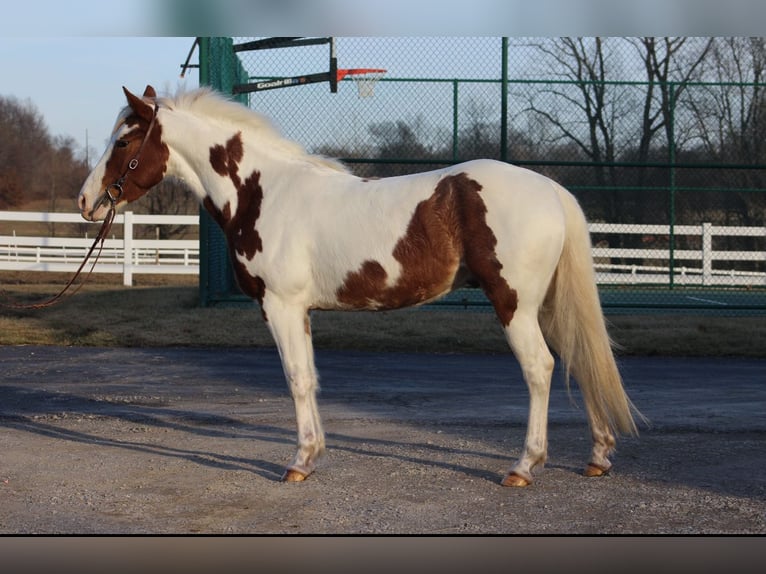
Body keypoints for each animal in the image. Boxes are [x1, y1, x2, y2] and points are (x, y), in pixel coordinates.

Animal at [78, 86, 640, 490]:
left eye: (123, 142)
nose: (86, 201)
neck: (263, 191)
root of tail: (551, 189)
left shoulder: (280, 306)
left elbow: (296, 380)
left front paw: (298, 463)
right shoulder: (300, 311)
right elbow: (309, 379)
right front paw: (312, 455)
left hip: (514, 306)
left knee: (541, 369)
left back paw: (524, 466)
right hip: (545, 305)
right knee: (578, 357)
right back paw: (598, 456)